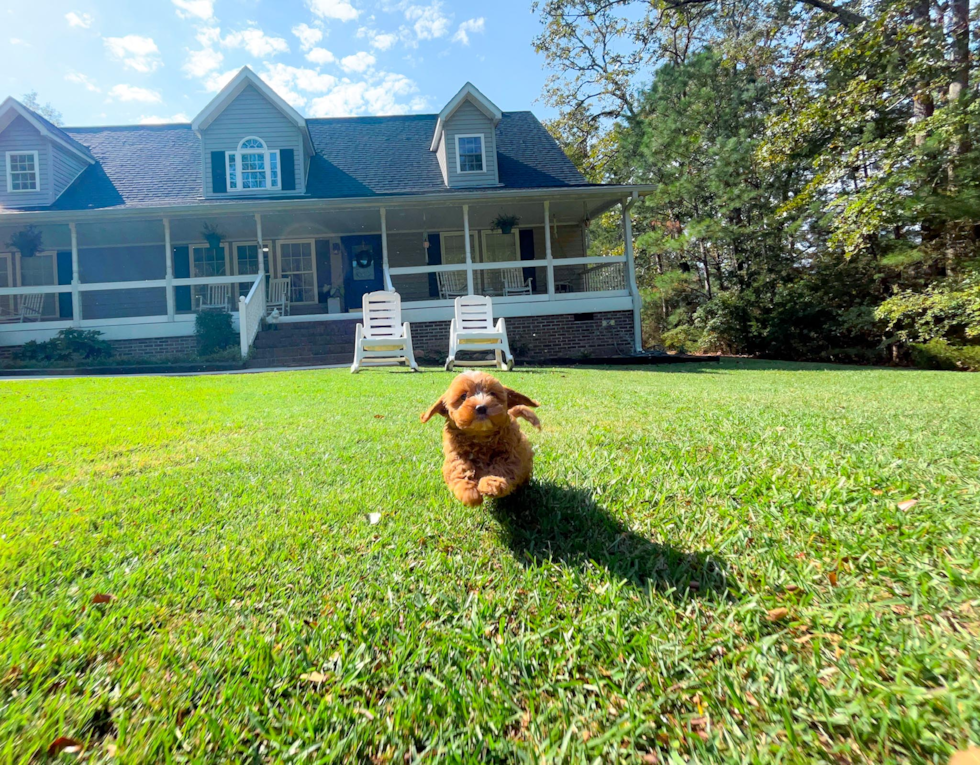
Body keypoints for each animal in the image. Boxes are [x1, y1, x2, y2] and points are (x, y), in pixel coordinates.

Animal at [422, 372, 544, 508]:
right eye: (463, 396)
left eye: (492, 393)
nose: (481, 407)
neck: (480, 437)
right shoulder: (455, 454)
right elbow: (459, 467)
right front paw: (468, 491)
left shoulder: (511, 453)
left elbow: (502, 466)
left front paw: (492, 483)